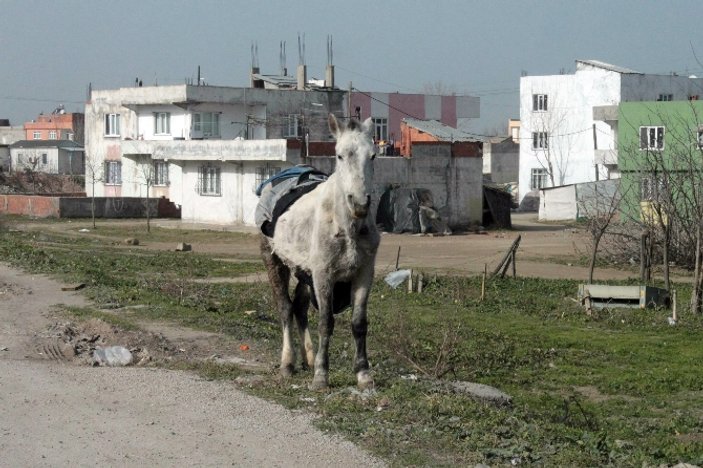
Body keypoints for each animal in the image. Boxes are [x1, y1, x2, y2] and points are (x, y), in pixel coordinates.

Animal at [260, 114, 380, 392]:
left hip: (304, 272)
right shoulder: (324, 275)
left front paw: (363, 374)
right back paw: (288, 363)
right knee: (285, 308)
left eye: (372, 156)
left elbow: (359, 323)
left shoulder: (364, 274)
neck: (346, 227)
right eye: (339, 155)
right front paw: (321, 376)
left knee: (299, 308)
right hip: (274, 260)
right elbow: (326, 322)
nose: (360, 204)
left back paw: (309, 357)